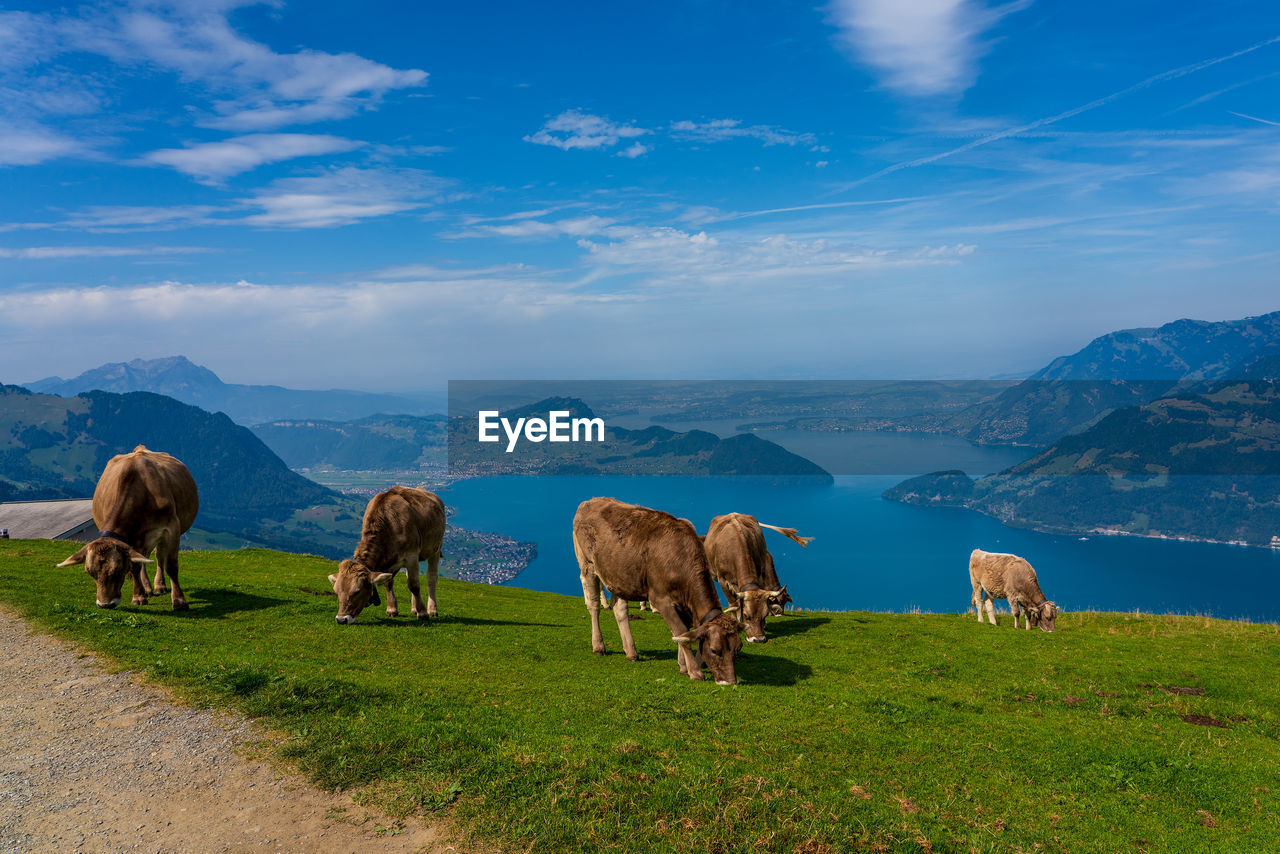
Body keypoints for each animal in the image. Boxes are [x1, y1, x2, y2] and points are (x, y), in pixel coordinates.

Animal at [56, 445, 198, 612]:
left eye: (117, 570)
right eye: (90, 572)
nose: (105, 604)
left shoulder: (171, 529)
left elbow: (170, 565)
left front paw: (179, 601)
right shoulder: (131, 538)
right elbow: (135, 565)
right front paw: (138, 597)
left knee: (159, 557)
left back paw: (159, 586)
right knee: (145, 558)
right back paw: (147, 589)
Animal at [330, 491, 445, 624]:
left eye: (357, 591)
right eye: (336, 591)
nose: (341, 619)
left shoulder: (411, 556)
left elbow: (414, 585)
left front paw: (422, 613)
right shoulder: (390, 562)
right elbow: (388, 583)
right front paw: (392, 609)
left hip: (436, 548)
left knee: (431, 578)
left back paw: (432, 609)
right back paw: (413, 609)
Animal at [570, 496, 742, 686]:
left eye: (737, 649)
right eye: (714, 650)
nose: (730, 682)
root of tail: (591, 501)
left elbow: (683, 633)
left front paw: (682, 665)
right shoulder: (661, 599)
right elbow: (680, 631)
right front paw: (694, 671)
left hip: (618, 574)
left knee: (619, 609)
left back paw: (631, 652)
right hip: (587, 564)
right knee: (593, 606)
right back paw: (599, 646)